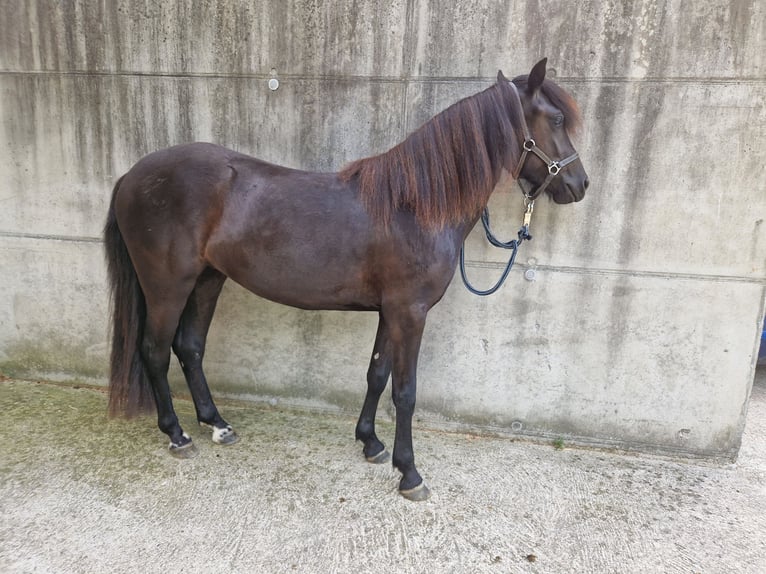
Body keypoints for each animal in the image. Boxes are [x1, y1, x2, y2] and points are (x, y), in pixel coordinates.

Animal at [105, 56, 592, 502]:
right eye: (557, 119)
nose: (580, 183)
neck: (414, 206)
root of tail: (131, 176)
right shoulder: (410, 313)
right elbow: (405, 392)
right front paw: (410, 474)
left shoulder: (390, 312)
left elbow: (376, 374)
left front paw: (371, 444)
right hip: (167, 286)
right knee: (154, 351)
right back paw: (177, 434)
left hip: (208, 279)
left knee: (190, 347)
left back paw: (218, 425)